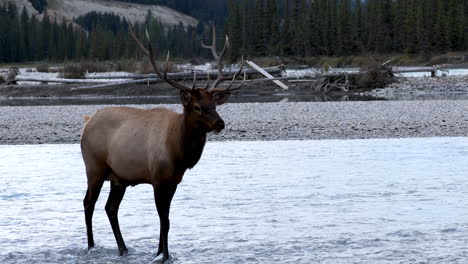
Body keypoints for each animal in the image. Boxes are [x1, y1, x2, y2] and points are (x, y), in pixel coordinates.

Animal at [80, 26, 243, 262]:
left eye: (214, 104)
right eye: (197, 107)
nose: (219, 123)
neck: (178, 152)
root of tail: (87, 122)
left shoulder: (173, 181)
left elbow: (165, 221)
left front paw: (159, 252)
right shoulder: (157, 179)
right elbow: (164, 221)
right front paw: (165, 256)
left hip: (118, 177)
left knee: (110, 208)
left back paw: (123, 249)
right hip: (94, 167)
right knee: (88, 203)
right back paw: (91, 246)